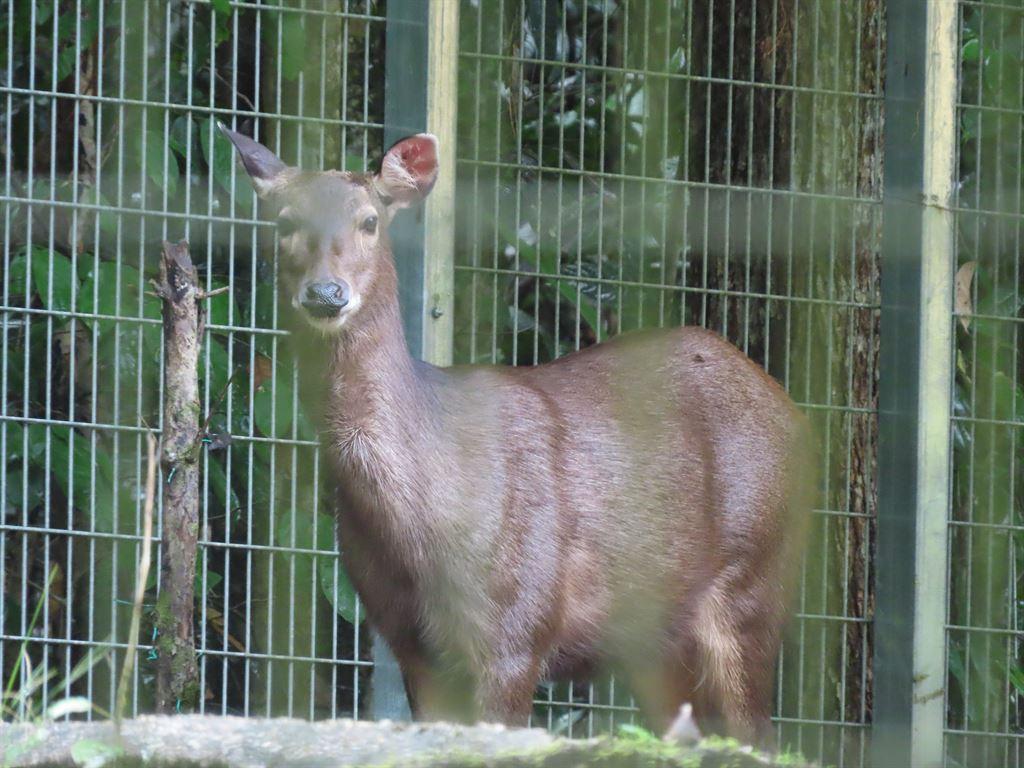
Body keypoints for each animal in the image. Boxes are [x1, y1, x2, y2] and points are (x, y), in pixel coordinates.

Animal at [222, 125, 813, 747]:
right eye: (284, 221)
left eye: (369, 220)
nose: (326, 292)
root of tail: (793, 412)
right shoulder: (409, 642)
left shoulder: (515, 627)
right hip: (658, 643)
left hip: (754, 576)